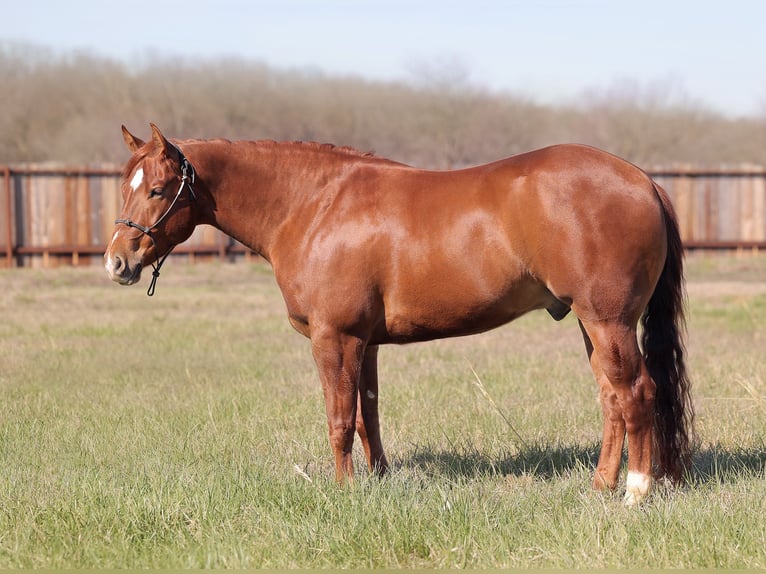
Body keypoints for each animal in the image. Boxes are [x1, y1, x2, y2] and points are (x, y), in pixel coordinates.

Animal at [106, 126, 696, 508]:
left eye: (157, 189)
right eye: (125, 187)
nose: (118, 262)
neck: (315, 205)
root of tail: (643, 180)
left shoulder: (335, 338)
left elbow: (339, 418)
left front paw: (344, 492)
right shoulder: (364, 343)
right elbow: (368, 414)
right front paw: (377, 481)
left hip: (608, 321)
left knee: (636, 393)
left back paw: (636, 492)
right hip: (590, 324)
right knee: (611, 398)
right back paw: (600, 487)